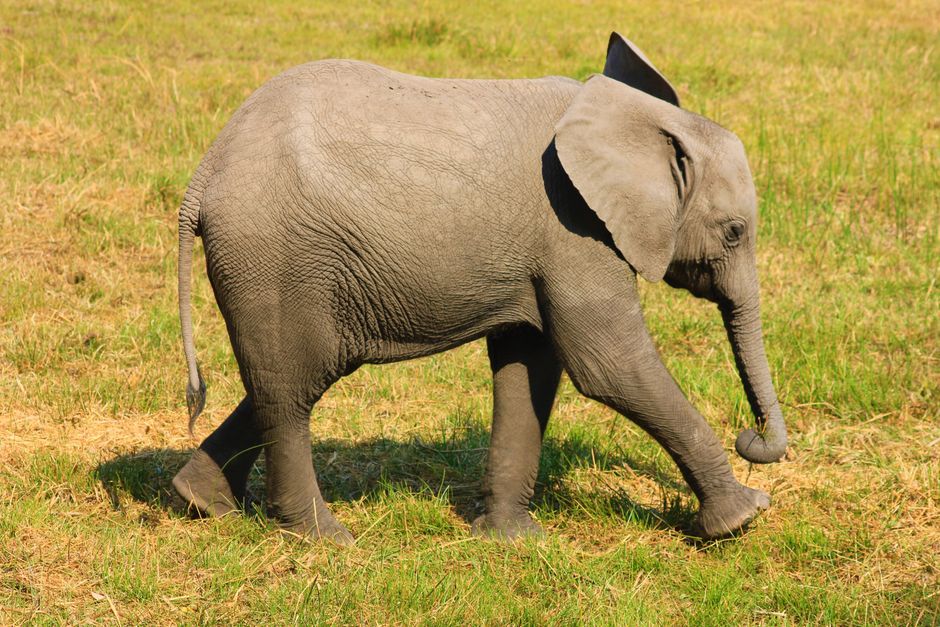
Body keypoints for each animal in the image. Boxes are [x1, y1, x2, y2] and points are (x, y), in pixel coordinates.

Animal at [171, 32, 788, 545]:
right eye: (734, 232)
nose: (751, 440)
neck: (634, 117)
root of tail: (204, 173)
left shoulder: (546, 249)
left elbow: (530, 364)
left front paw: (513, 541)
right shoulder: (574, 230)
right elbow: (609, 367)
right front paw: (742, 519)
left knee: (289, 379)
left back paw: (201, 502)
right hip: (277, 257)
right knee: (292, 392)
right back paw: (325, 541)